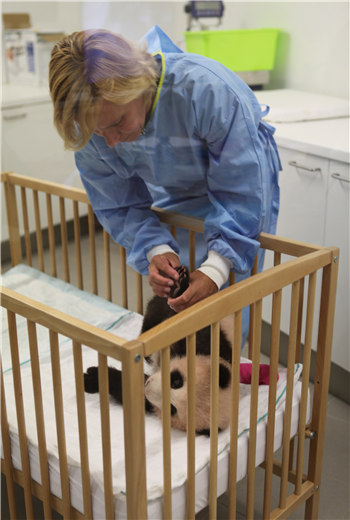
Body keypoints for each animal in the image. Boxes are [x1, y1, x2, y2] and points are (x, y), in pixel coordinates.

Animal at [84, 266, 232, 436]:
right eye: (176, 382)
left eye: (172, 408)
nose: (147, 386)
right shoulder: (210, 343)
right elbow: (192, 323)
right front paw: (179, 286)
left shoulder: (150, 403)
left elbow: (129, 391)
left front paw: (92, 377)